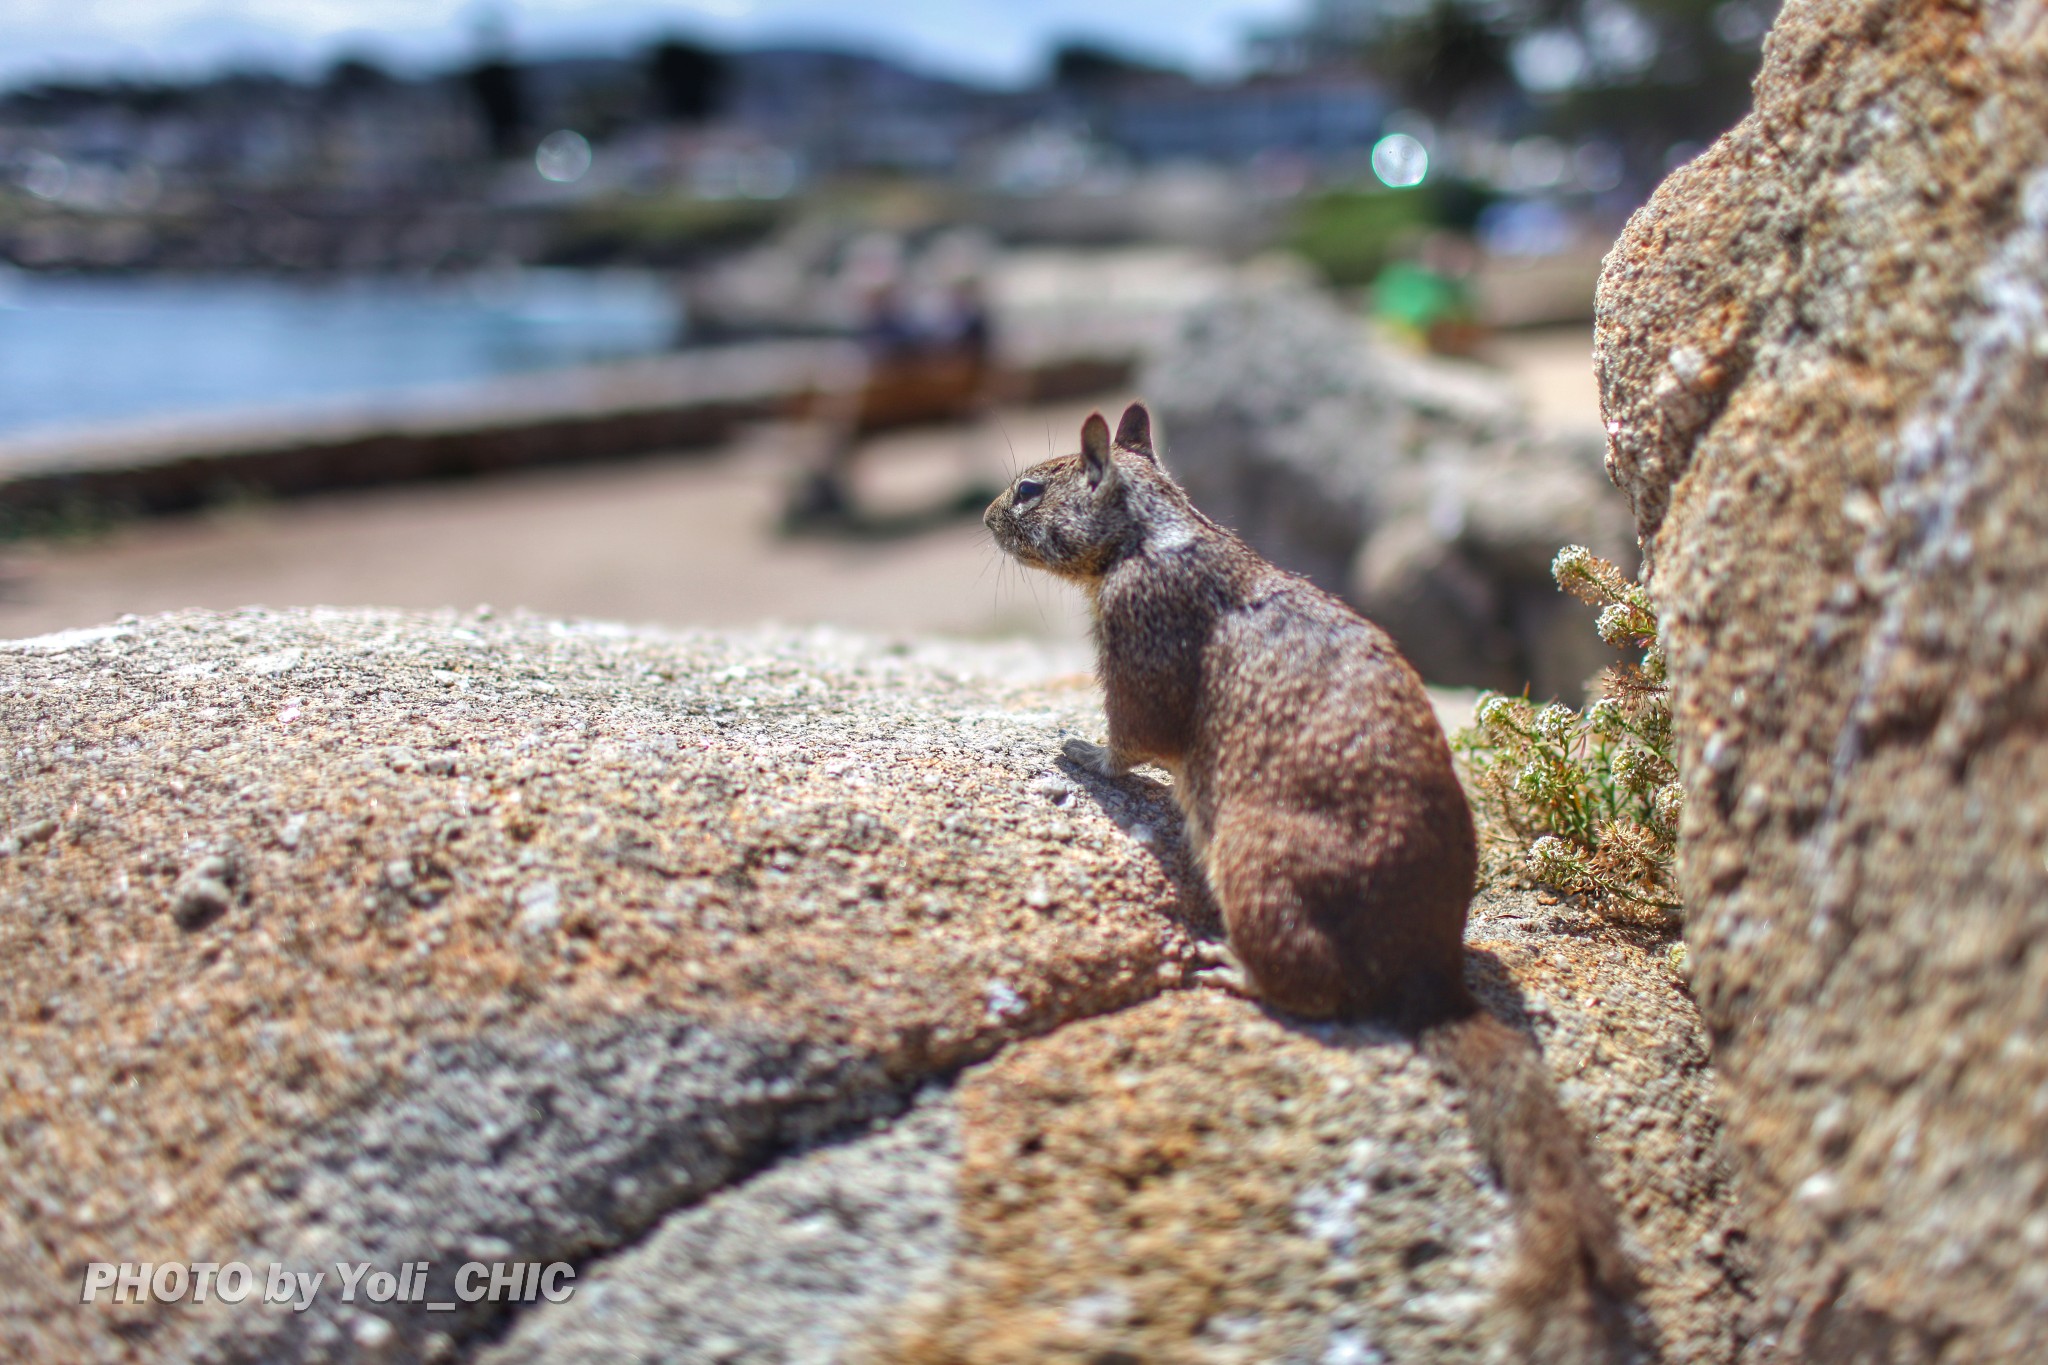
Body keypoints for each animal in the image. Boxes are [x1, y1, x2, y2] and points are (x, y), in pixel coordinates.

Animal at [983, 401, 1638, 1358]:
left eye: (1030, 487)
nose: (986, 517)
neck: (1157, 527)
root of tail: (1427, 976)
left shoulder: (1139, 640)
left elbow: (1130, 736)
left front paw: (1075, 748)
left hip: (1254, 867)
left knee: (1312, 989)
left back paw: (1226, 967)